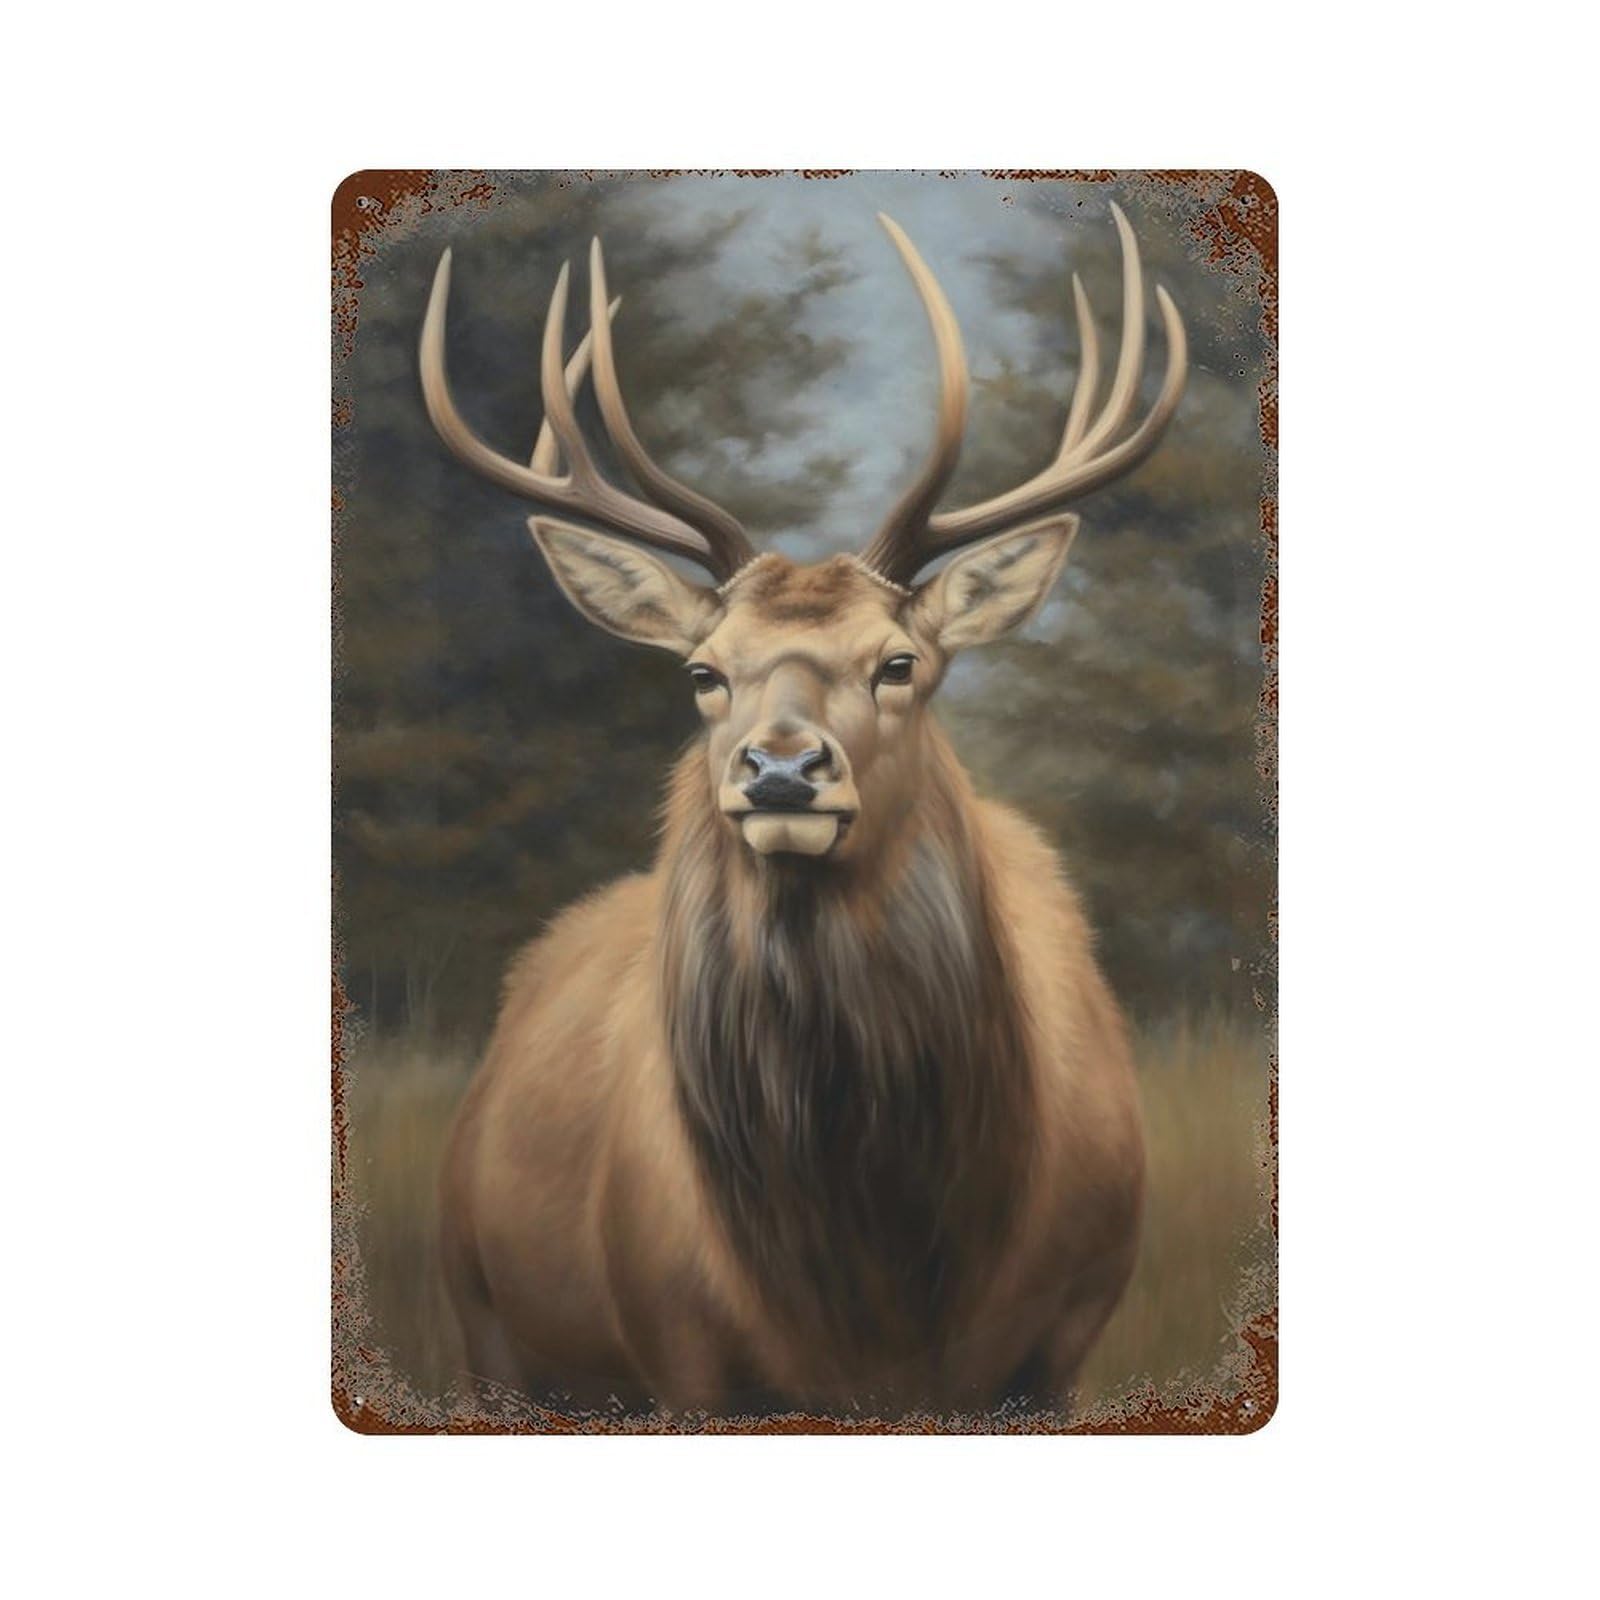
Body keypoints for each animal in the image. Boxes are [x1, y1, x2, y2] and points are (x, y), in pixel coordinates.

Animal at [420, 205, 1187, 1419]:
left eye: (900, 661)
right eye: (702, 672)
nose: (781, 770)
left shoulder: (1065, 1333)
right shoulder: (676, 1341)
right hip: (484, 1315)